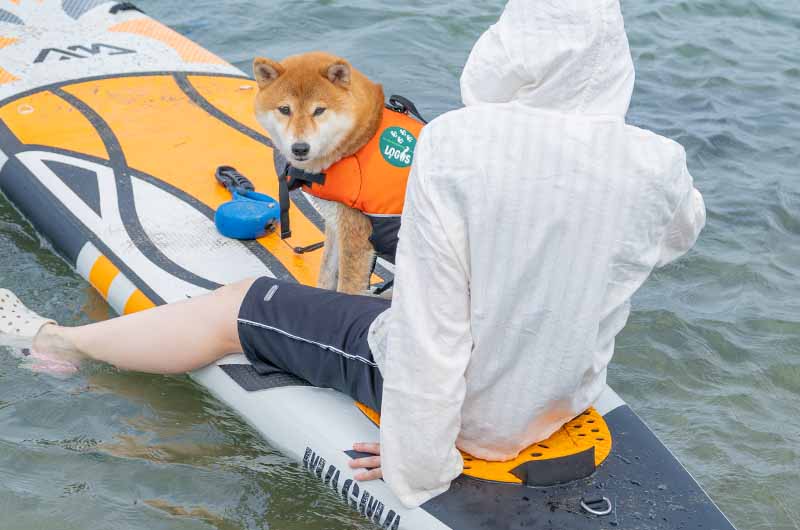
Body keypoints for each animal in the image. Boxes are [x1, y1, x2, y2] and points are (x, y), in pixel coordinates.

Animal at [253, 50, 422, 292]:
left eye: (319, 110)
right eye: (285, 109)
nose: (300, 148)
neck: (361, 140)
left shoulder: (356, 237)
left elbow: (346, 288)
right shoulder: (335, 226)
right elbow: (326, 276)